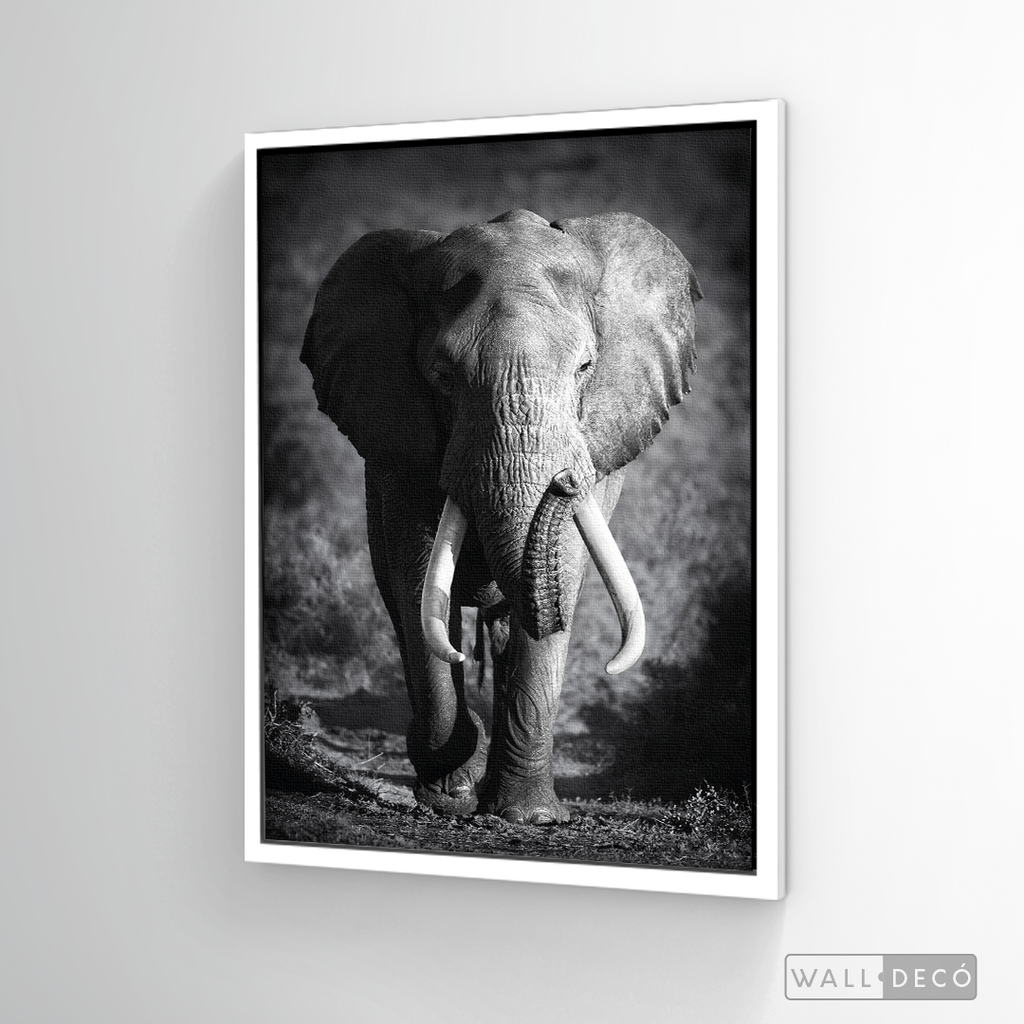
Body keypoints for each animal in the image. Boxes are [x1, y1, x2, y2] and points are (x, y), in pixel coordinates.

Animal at [300, 208, 701, 824]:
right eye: (442, 376)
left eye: (586, 367)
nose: (563, 482)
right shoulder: (400, 445)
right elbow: (417, 580)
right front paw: (450, 796)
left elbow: (563, 572)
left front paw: (528, 817)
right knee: (400, 604)